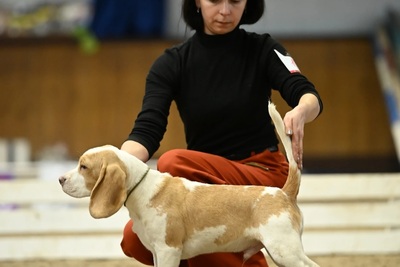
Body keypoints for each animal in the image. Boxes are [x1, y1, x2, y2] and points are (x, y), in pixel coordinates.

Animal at [58, 103, 318, 267]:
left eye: (83, 167)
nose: (60, 179)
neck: (143, 190)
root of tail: (284, 193)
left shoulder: (168, 250)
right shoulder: (157, 252)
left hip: (285, 250)